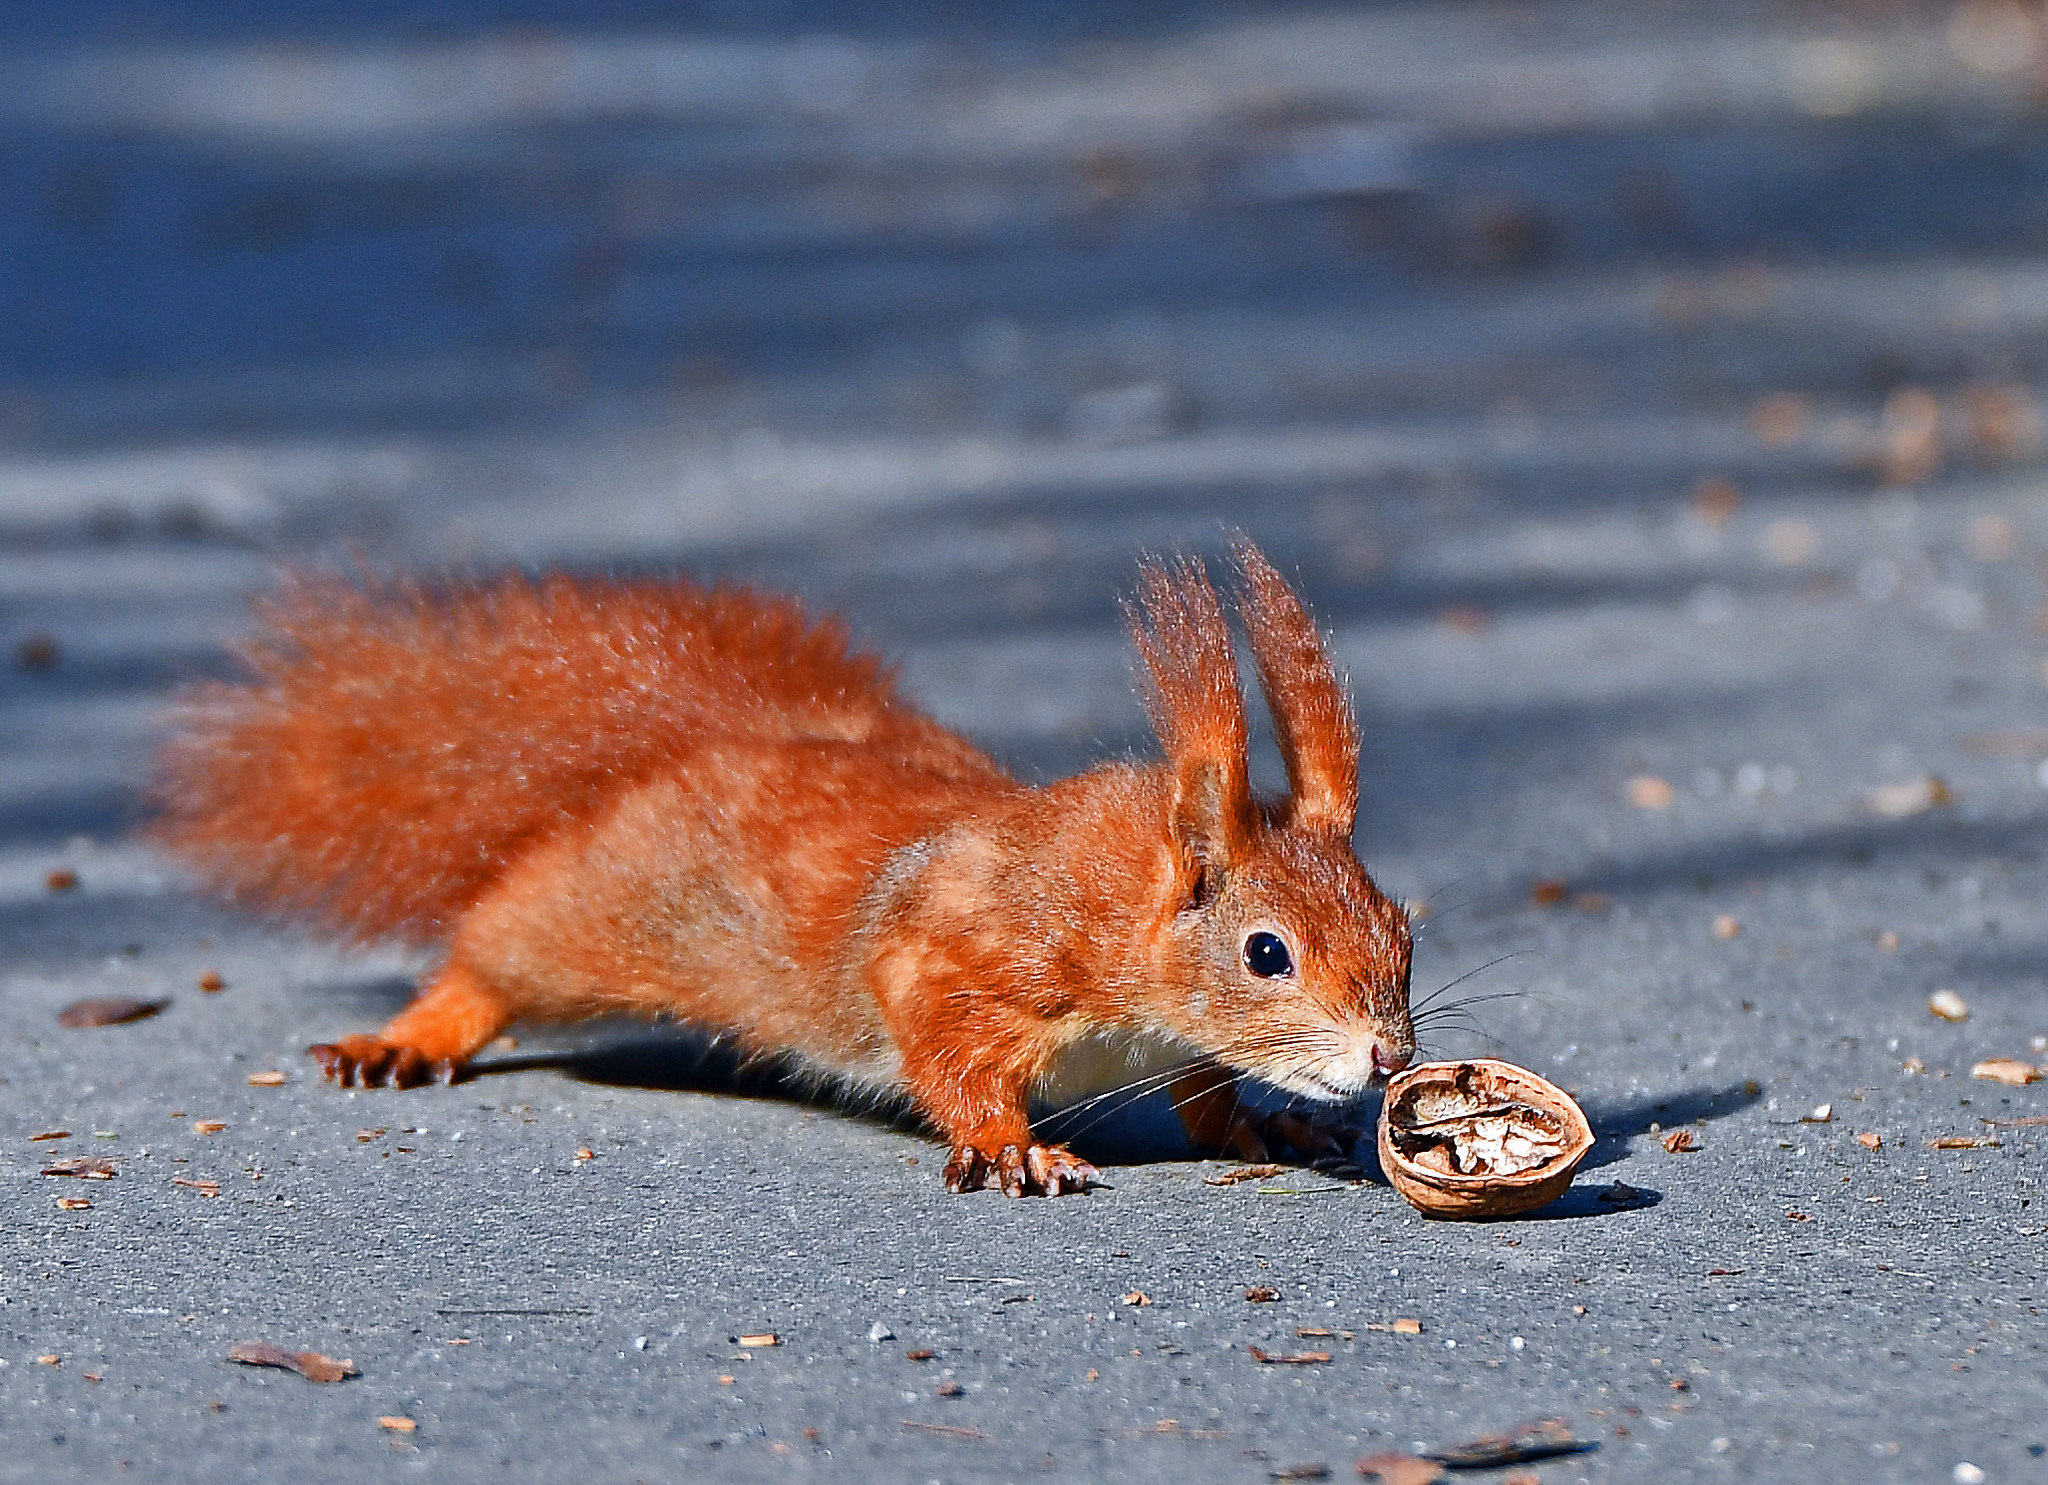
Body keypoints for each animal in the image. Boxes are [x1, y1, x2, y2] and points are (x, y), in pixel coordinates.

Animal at [155, 540, 1409, 1188]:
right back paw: (412, 1034)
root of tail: (697, 750)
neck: (1108, 906)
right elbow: (944, 1054)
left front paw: (1261, 1123)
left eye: (1401, 928)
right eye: (1264, 953)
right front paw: (1007, 1144)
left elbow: (1204, 1091)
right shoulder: (955, 956)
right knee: (490, 953)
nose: (1389, 1059)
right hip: (591, 918)